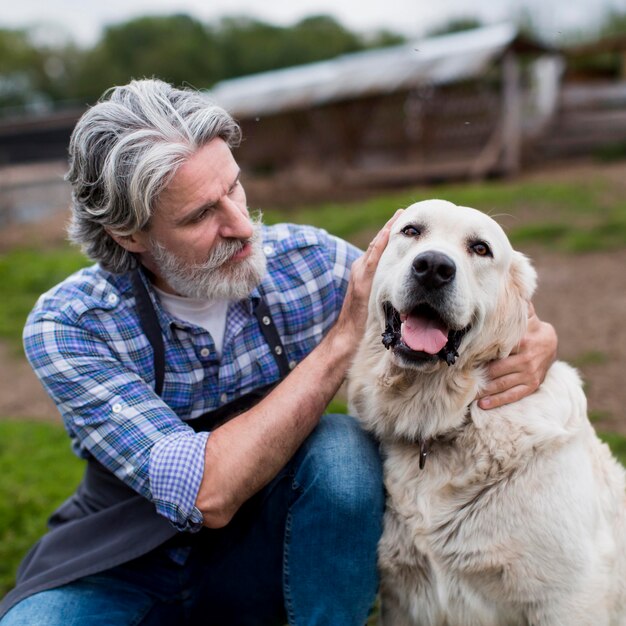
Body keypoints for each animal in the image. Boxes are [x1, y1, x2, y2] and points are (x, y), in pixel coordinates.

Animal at [346, 200, 624, 624]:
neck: (453, 418)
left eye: (480, 249)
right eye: (411, 231)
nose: (433, 267)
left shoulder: (568, 600)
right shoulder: (404, 600)